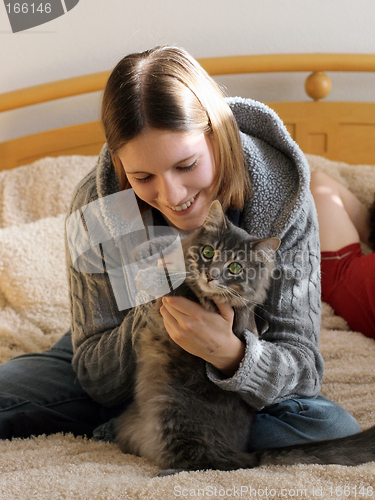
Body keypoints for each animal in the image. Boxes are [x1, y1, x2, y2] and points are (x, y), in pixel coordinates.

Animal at [117, 200, 375, 472]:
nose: (211, 275)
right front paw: (147, 249)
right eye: (207, 252)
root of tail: (249, 453)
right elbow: (178, 243)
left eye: (234, 267)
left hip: (173, 413)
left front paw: (151, 275)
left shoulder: (194, 308)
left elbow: (178, 287)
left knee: (215, 462)